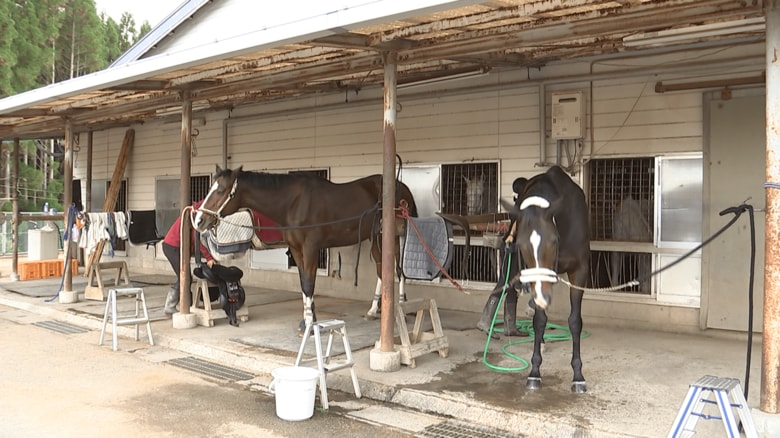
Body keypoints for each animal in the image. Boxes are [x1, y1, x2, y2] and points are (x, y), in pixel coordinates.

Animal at [192, 165, 418, 332]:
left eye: (220, 190)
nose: (199, 221)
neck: (293, 204)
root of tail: (402, 186)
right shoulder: (296, 250)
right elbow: (303, 283)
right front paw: (307, 319)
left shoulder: (310, 248)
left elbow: (309, 283)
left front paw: (309, 322)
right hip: (376, 238)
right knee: (382, 270)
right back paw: (373, 310)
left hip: (395, 236)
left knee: (398, 270)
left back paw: (401, 307)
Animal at [500, 165, 591, 393]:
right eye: (521, 244)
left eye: (553, 240)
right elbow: (539, 320)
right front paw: (534, 372)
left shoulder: (580, 271)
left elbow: (575, 321)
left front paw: (578, 376)